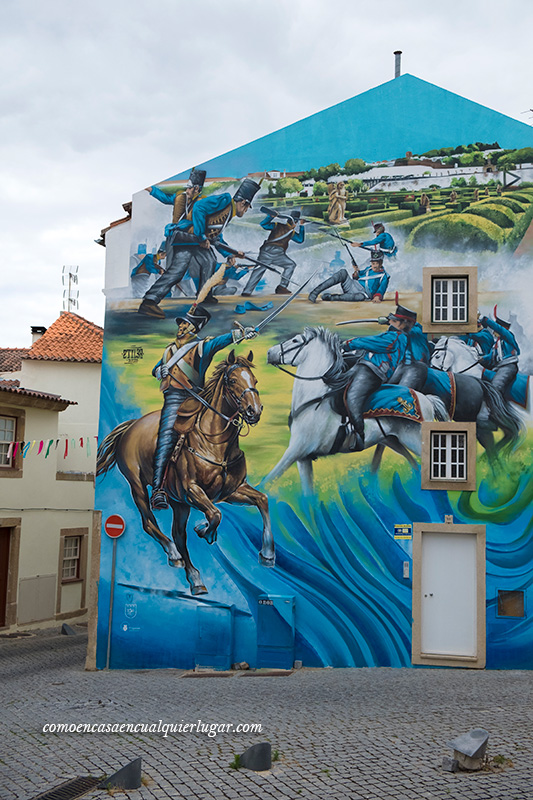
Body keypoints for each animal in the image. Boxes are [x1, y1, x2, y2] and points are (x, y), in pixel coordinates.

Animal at [95, 350, 274, 592]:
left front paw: (267, 553)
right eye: (233, 381)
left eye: (254, 380)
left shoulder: (231, 491)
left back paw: (195, 578)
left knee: (178, 534)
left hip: (179, 503)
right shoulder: (193, 491)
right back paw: (174, 554)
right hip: (138, 486)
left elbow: (262, 500)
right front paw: (204, 530)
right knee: (150, 523)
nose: (254, 411)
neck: (215, 443)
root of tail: (130, 427)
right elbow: (215, 514)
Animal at [264, 326, 446, 494]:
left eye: (295, 340)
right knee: (413, 465)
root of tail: (426, 399)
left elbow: (267, 480)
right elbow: (308, 495)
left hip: (414, 439)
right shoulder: (303, 458)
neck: (314, 400)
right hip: (392, 440)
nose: (269, 352)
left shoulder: (296, 450)